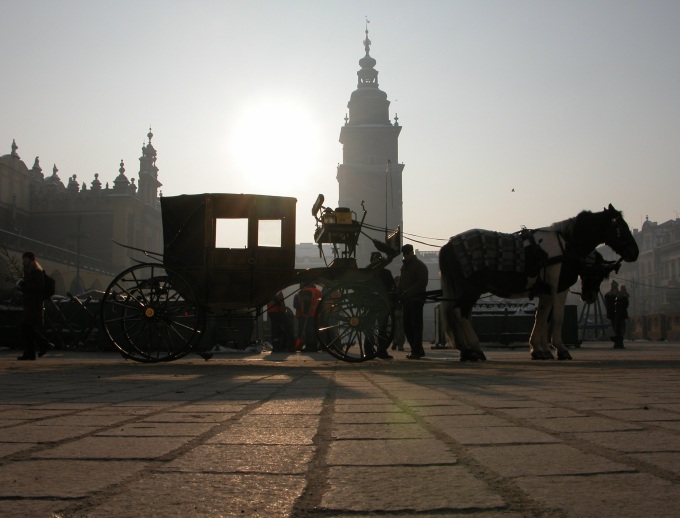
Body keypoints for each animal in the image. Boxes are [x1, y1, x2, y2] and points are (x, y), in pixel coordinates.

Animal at [438, 204, 640, 362]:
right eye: (620, 227)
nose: (635, 252)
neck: (566, 244)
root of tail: (448, 244)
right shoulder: (559, 288)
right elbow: (556, 317)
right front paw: (560, 349)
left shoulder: (546, 290)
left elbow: (542, 316)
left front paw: (539, 349)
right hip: (472, 289)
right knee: (460, 312)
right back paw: (475, 349)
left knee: (458, 313)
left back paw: (466, 350)